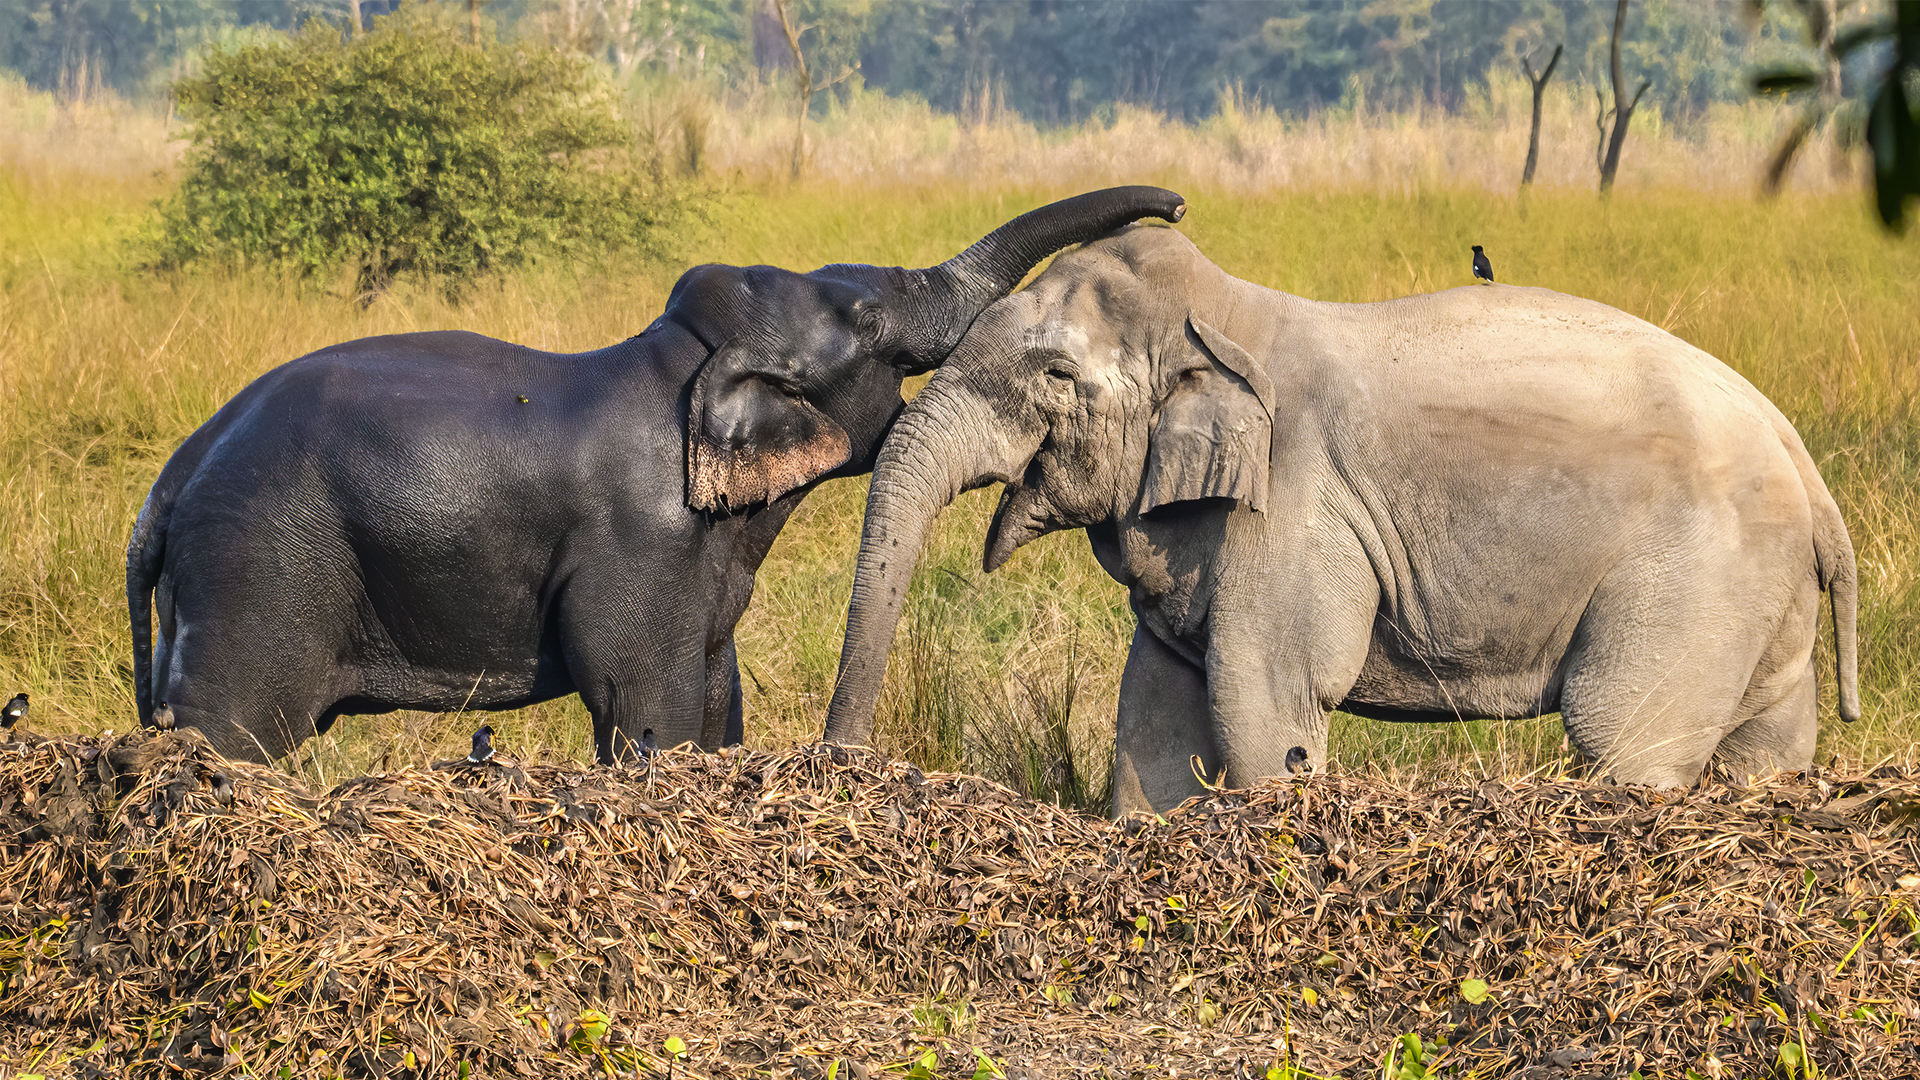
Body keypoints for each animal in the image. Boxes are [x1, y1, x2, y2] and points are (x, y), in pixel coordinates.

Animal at [127, 187, 1182, 757]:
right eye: (870, 320)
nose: (1175, 207)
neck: (686, 360)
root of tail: (168, 487)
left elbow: (717, 694)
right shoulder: (646, 540)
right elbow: (649, 706)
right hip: (261, 567)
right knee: (233, 729)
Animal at [825, 222, 1858, 807]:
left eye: (1055, 375)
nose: (840, 768)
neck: (1234, 311)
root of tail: (1807, 470)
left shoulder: (1292, 506)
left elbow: (1264, 701)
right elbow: (1156, 713)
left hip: (1698, 576)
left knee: (1626, 737)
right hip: (1763, 602)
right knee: (1765, 742)